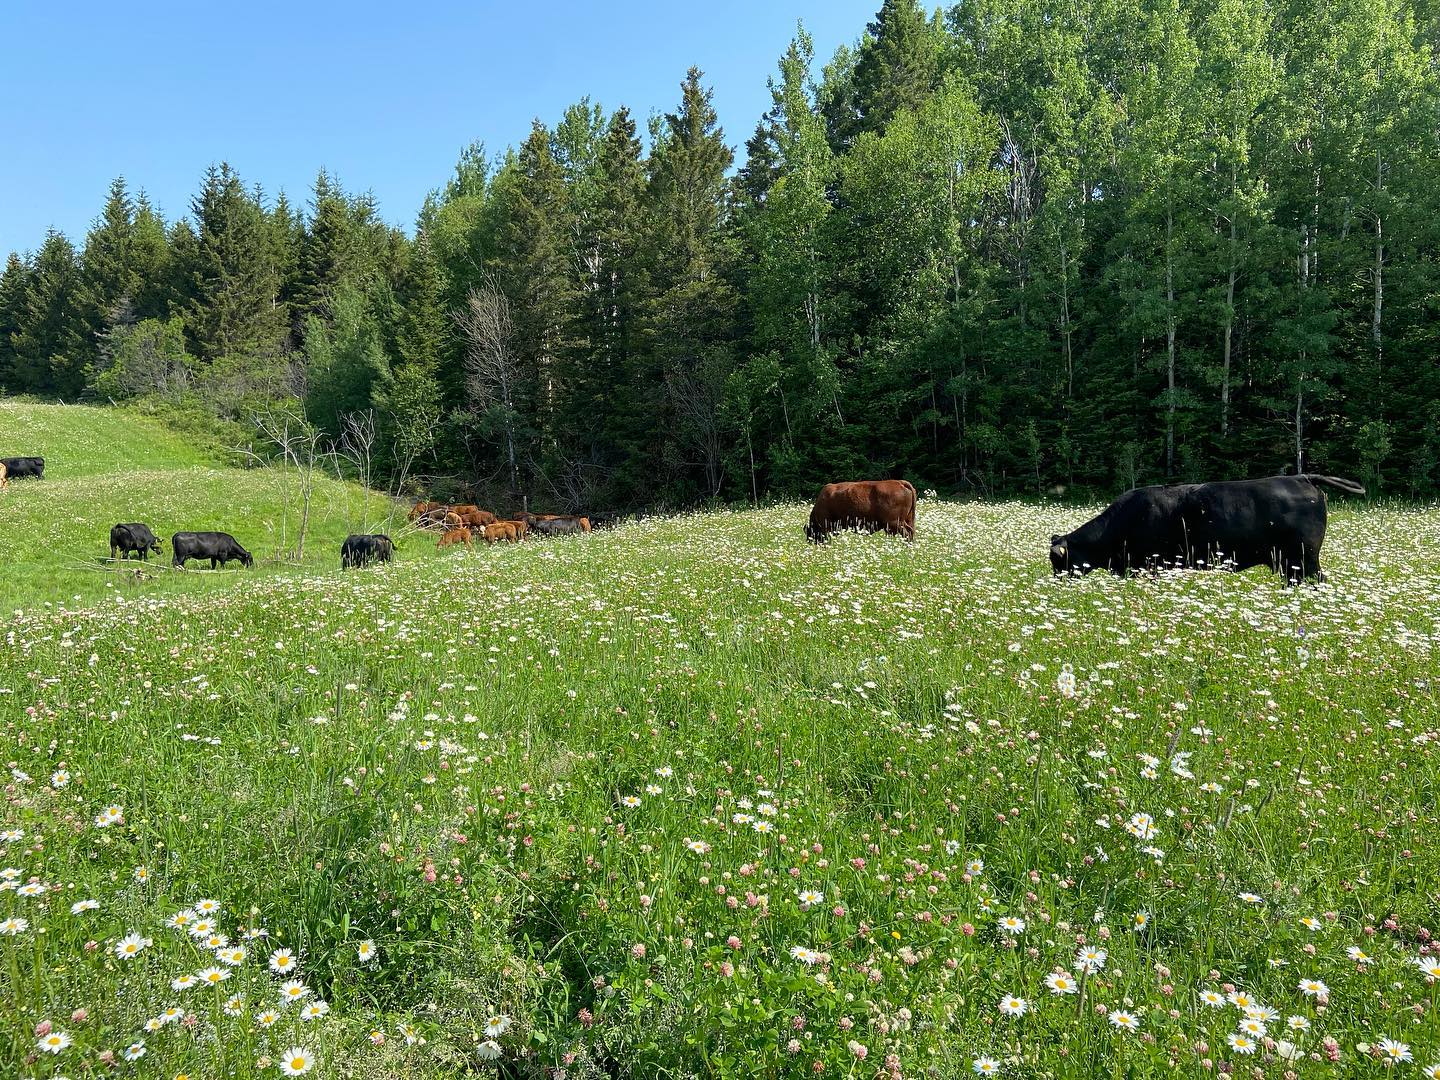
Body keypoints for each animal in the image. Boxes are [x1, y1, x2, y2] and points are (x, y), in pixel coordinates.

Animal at [1048, 472, 1359, 584]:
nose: (1055, 584)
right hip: (1290, 563)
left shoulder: (1146, 565)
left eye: (1058, 562)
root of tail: (1302, 477)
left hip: (1304, 558)